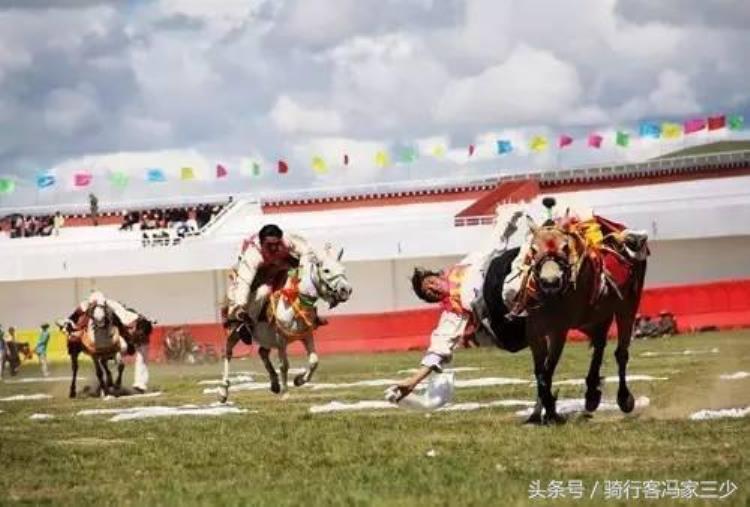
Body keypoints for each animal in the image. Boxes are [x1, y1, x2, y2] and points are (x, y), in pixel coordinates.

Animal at [219, 244, 354, 402]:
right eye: (326, 270)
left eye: (343, 269)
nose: (346, 290)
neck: (294, 299)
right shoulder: (280, 340)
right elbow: (284, 365)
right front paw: (286, 393)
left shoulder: (306, 336)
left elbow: (314, 361)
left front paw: (299, 380)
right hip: (234, 331)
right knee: (228, 353)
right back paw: (223, 391)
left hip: (265, 338)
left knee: (262, 352)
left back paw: (275, 384)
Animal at [520, 206, 648, 424]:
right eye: (534, 249)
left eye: (565, 247)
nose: (550, 282)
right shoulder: (534, 332)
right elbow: (540, 372)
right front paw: (538, 413)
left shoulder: (559, 331)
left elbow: (547, 370)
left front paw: (552, 411)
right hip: (595, 318)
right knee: (599, 346)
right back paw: (592, 393)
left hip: (626, 308)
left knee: (621, 353)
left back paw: (624, 398)